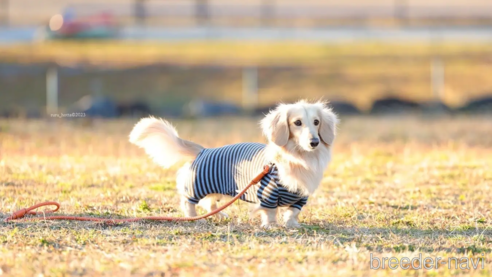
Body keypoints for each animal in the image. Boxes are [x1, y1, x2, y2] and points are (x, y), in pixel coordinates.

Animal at [129, 99, 338, 226]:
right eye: (297, 123)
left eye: (316, 122)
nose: (314, 142)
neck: (298, 158)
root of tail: (203, 150)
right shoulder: (268, 195)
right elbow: (270, 212)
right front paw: (271, 225)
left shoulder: (300, 197)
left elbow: (293, 212)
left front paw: (291, 224)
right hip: (197, 185)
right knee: (189, 202)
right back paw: (195, 218)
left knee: (210, 205)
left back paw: (219, 215)